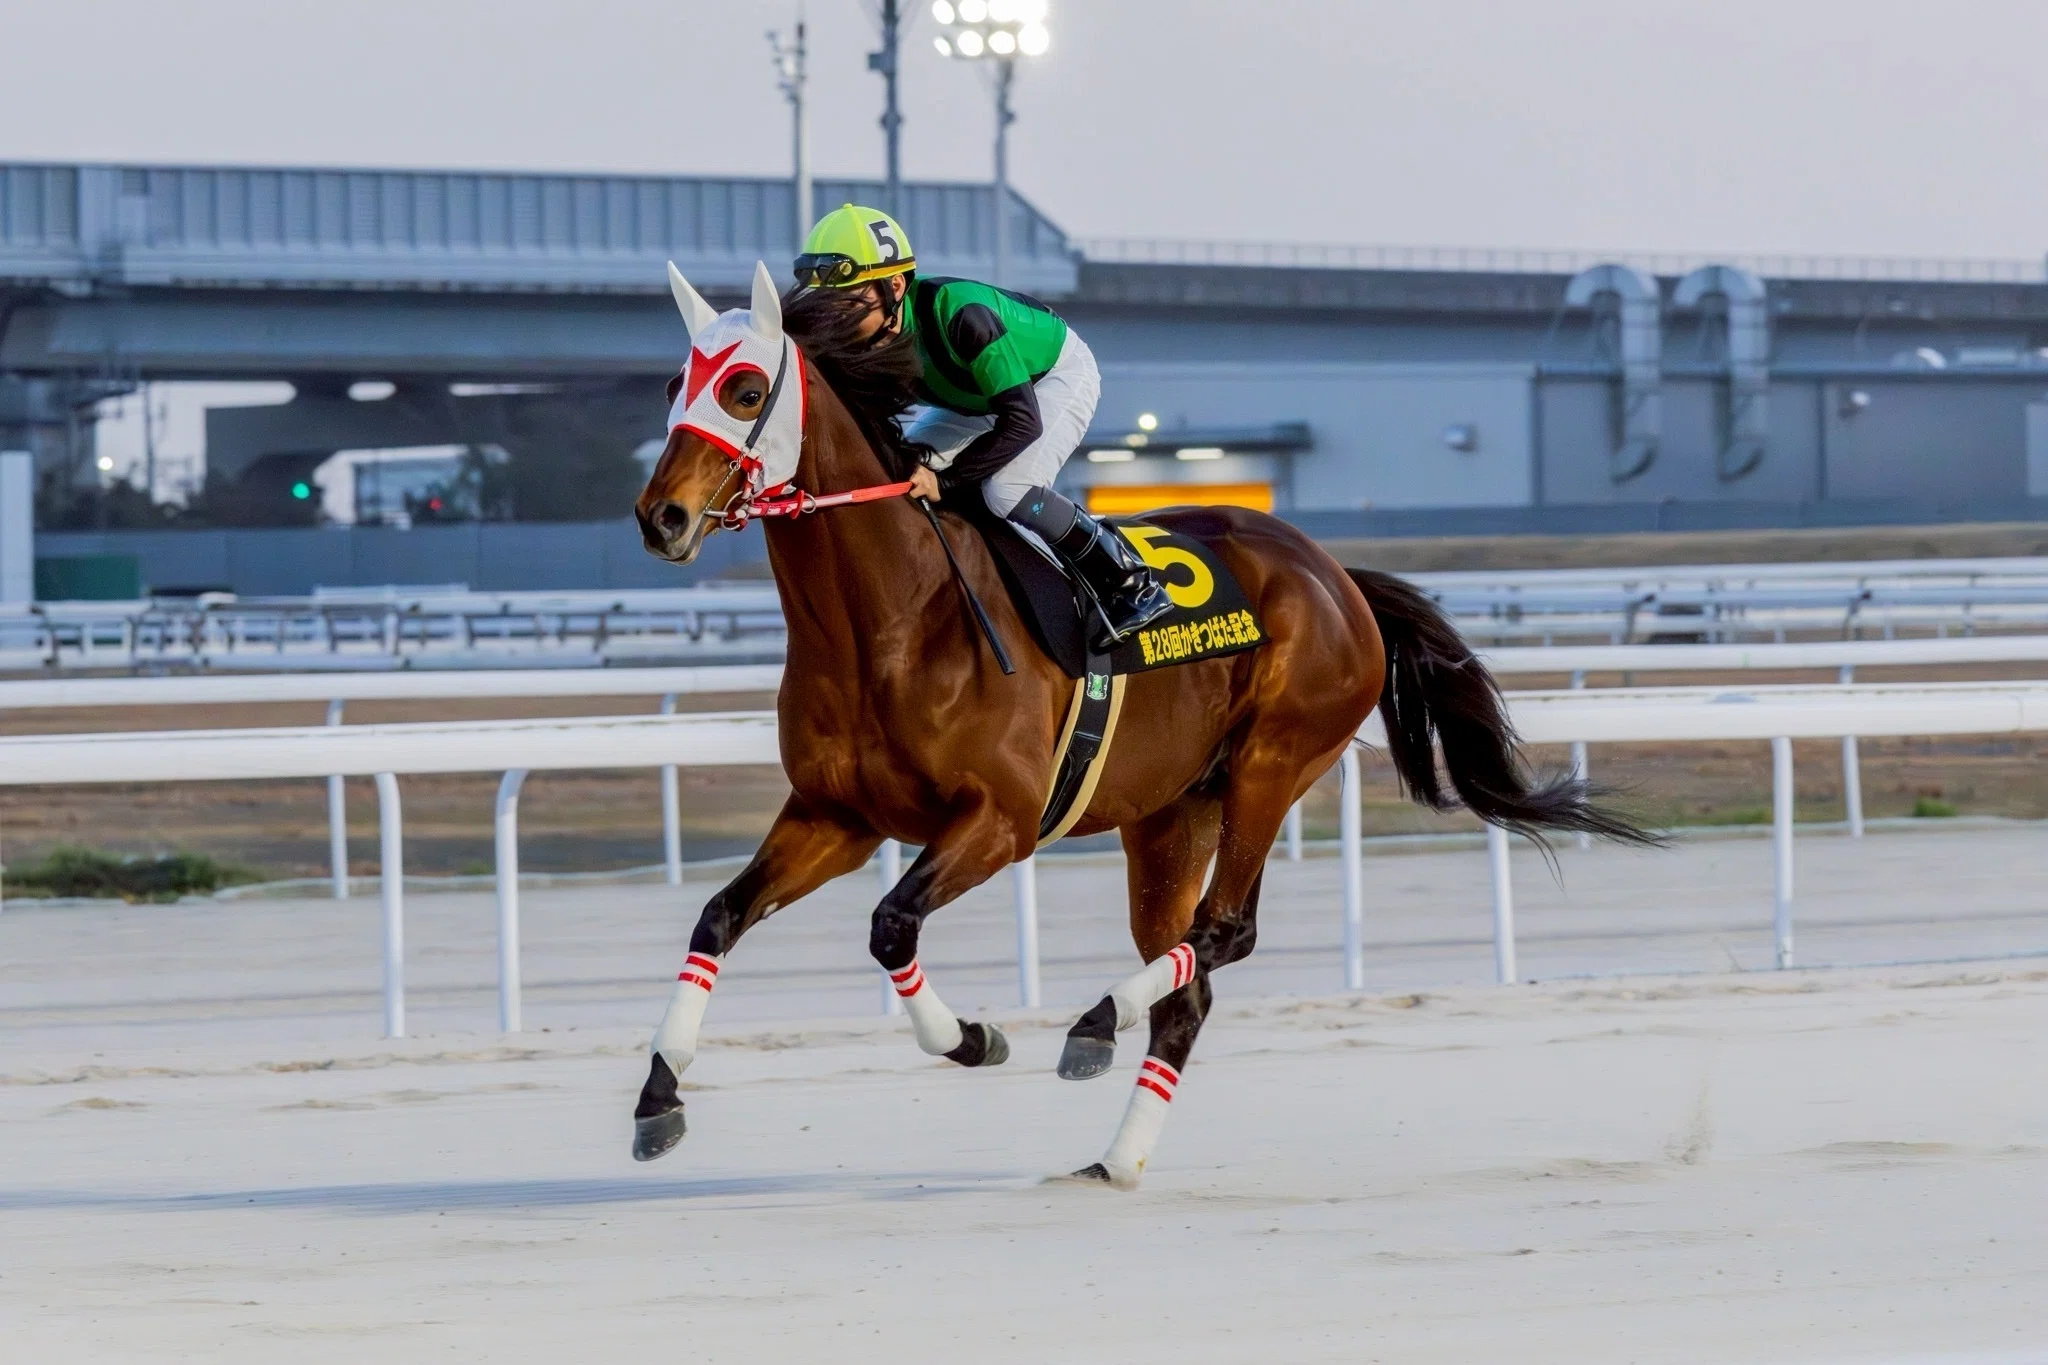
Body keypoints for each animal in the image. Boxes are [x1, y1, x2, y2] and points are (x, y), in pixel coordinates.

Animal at [629, 261, 1653, 1188]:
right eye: (676, 385)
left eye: (745, 388)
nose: (660, 516)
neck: (895, 619)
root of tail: (1336, 574)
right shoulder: (837, 815)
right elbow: (719, 916)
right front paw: (657, 1097)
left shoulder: (998, 820)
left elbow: (891, 927)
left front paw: (976, 1036)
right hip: (1170, 813)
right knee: (1188, 977)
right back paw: (1116, 1154)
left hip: (1274, 760)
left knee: (1226, 929)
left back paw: (1095, 1024)